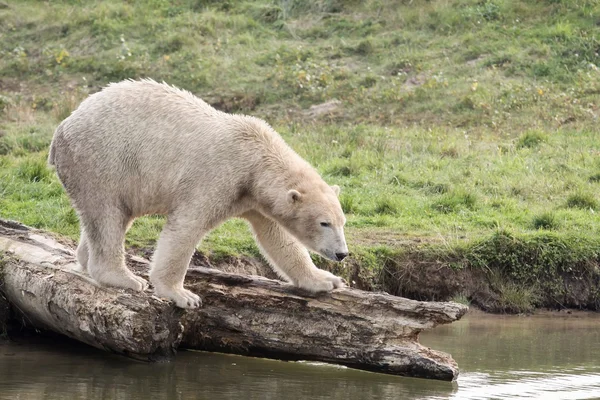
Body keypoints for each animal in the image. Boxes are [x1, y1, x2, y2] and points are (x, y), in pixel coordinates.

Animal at [49, 79, 350, 310]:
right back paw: (125, 278)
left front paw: (326, 280)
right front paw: (182, 295)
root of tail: (62, 127)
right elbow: (186, 227)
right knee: (108, 216)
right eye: (324, 223)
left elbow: (278, 238)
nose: (342, 254)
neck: (256, 156)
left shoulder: (252, 198)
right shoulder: (217, 177)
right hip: (103, 162)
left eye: (342, 222)